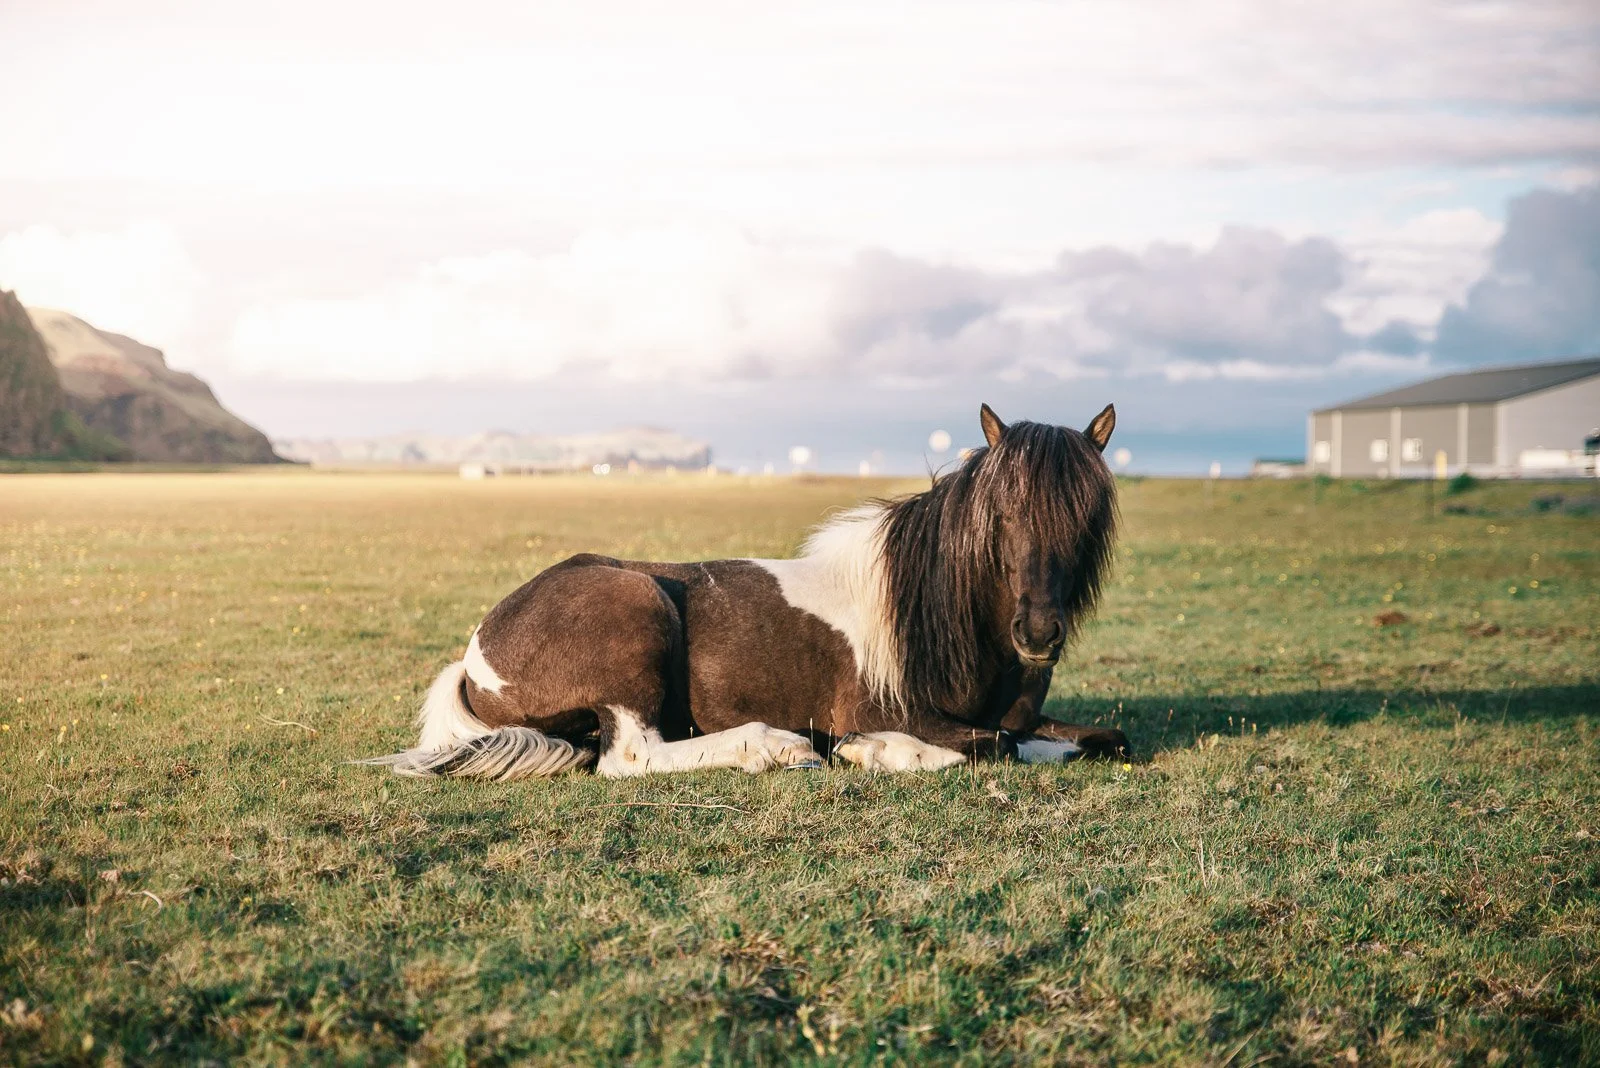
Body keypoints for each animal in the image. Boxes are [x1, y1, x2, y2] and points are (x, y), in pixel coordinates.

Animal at [360, 402, 1130, 779]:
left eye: (1088, 516)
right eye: (1001, 513)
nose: (1038, 633)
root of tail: (475, 654)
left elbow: (1100, 740)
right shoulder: (892, 708)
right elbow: (987, 747)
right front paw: (870, 752)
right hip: (636, 611)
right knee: (631, 757)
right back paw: (777, 748)